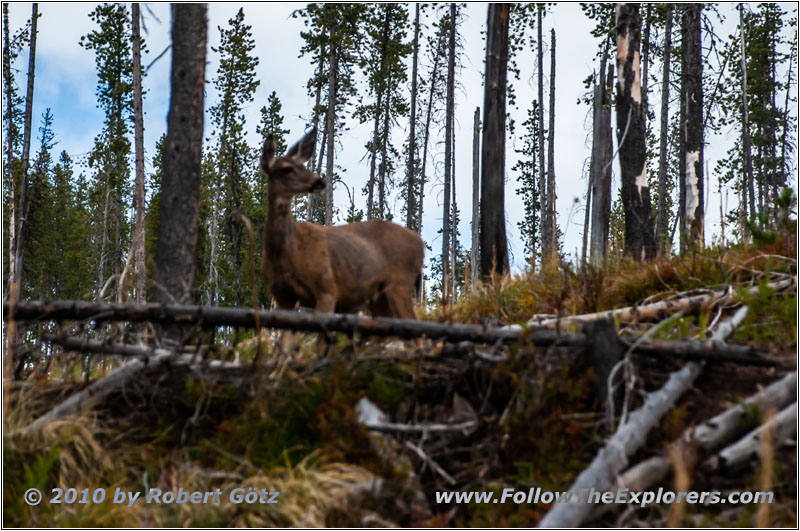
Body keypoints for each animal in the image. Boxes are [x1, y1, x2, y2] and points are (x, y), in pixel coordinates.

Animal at [260, 128, 424, 320]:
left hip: (400, 283)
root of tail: (420, 242)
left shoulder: (327, 288)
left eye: (303, 166)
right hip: (380, 298)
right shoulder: (283, 297)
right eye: (287, 168)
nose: (320, 181)